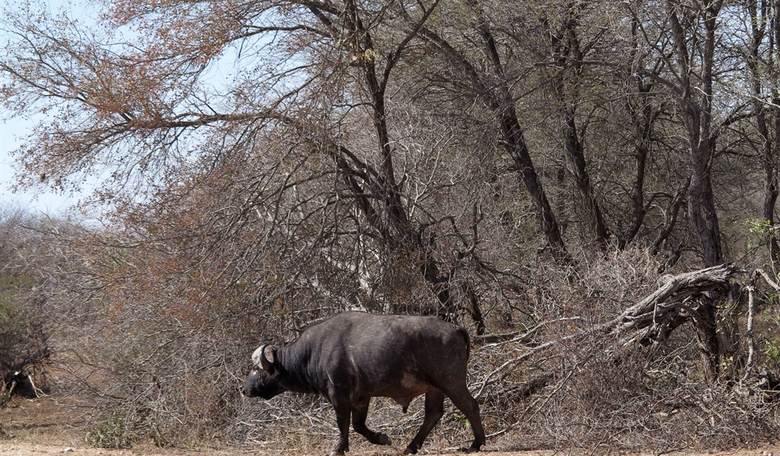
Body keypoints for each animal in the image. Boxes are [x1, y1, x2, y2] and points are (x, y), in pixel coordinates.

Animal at [242, 311, 485, 456]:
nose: (244, 389)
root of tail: (456, 328)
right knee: (433, 414)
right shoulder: (361, 397)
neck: (312, 352)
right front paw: (381, 438)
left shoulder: (339, 394)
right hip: (434, 388)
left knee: (470, 406)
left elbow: (343, 423)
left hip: (451, 382)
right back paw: (411, 447)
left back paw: (476, 444)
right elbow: (358, 425)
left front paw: (338, 449)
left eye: (257, 369)